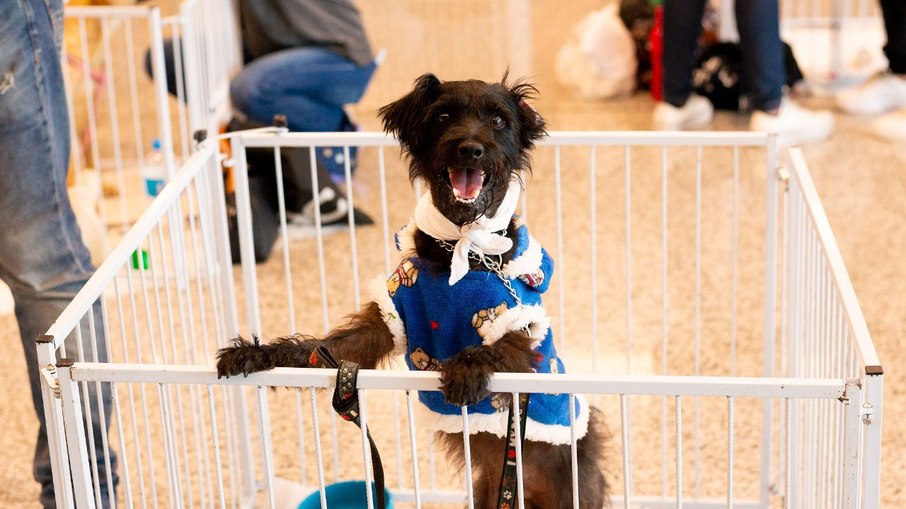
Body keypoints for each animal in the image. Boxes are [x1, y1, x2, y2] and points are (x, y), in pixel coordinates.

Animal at [215, 73, 604, 506]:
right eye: (443, 117)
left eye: (499, 121)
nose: (471, 149)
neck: (462, 247)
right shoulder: (387, 317)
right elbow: (318, 349)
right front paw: (257, 353)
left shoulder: (520, 327)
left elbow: (499, 349)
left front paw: (467, 368)